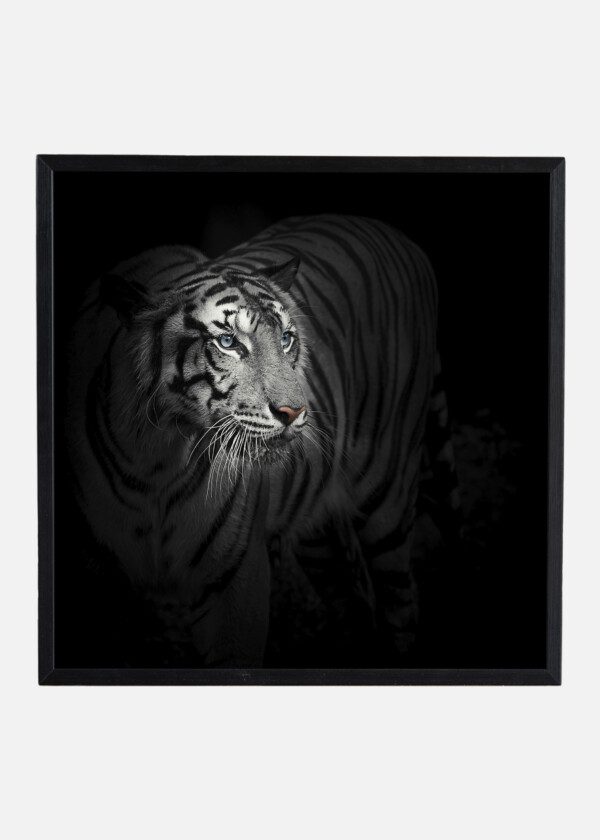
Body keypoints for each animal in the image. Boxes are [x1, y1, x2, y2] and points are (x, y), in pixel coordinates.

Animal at [66, 214, 457, 666]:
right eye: (228, 342)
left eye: (286, 338)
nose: (295, 411)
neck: (157, 459)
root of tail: (398, 235)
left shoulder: (235, 579)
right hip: (316, 522)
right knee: (353, 596)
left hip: (386, 495)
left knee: (402, 601)